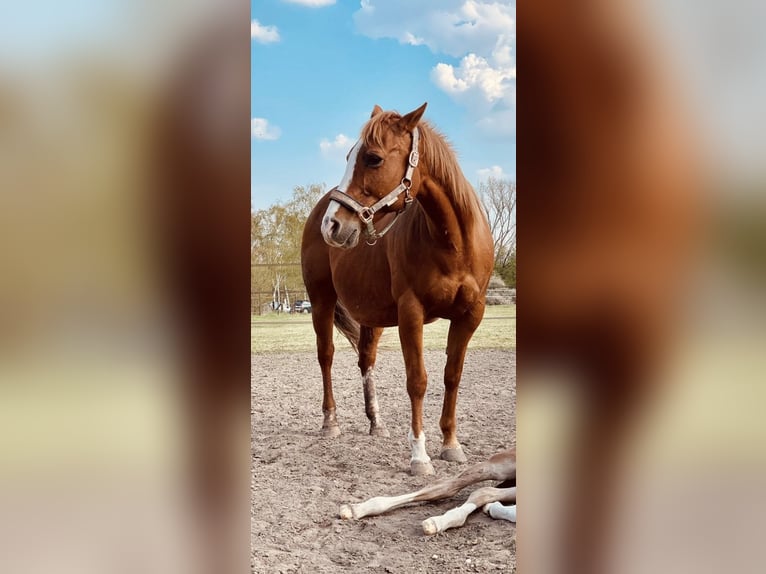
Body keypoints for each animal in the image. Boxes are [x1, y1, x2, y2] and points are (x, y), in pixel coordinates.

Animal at [300, 103, 495, 476]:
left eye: (373, 158)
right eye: (348, 156)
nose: (332, 224)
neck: (454, 242)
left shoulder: (470, 315)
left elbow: (452, 376)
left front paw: (451, 445)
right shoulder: (411, 312)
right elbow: (417, 380)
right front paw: (419, 456)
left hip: (372, 315)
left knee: (366, 360)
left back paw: (376, 423)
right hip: (321, 301)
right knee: (326, 355)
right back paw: (330, 422)